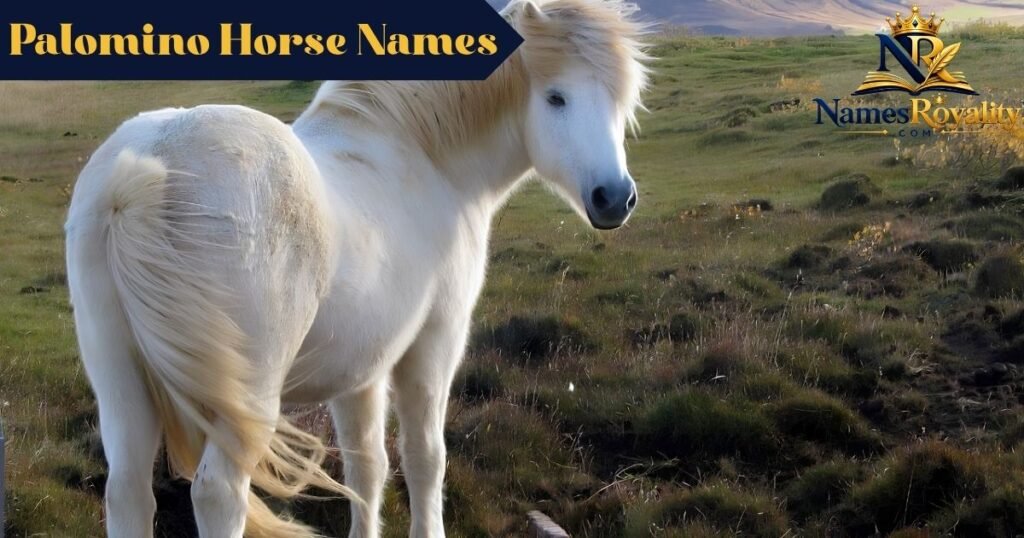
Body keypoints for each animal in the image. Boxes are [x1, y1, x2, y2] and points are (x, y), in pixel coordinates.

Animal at [63, 0, 649, 536]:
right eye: (556, 97)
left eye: (618, 99)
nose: (614, 198)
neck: (421, 155)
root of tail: (147, 168)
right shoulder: (433, 344)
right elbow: (424, 458)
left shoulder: (359, 370)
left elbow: (367, 468)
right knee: (219, 495)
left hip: (122, 385)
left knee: (128, 490)